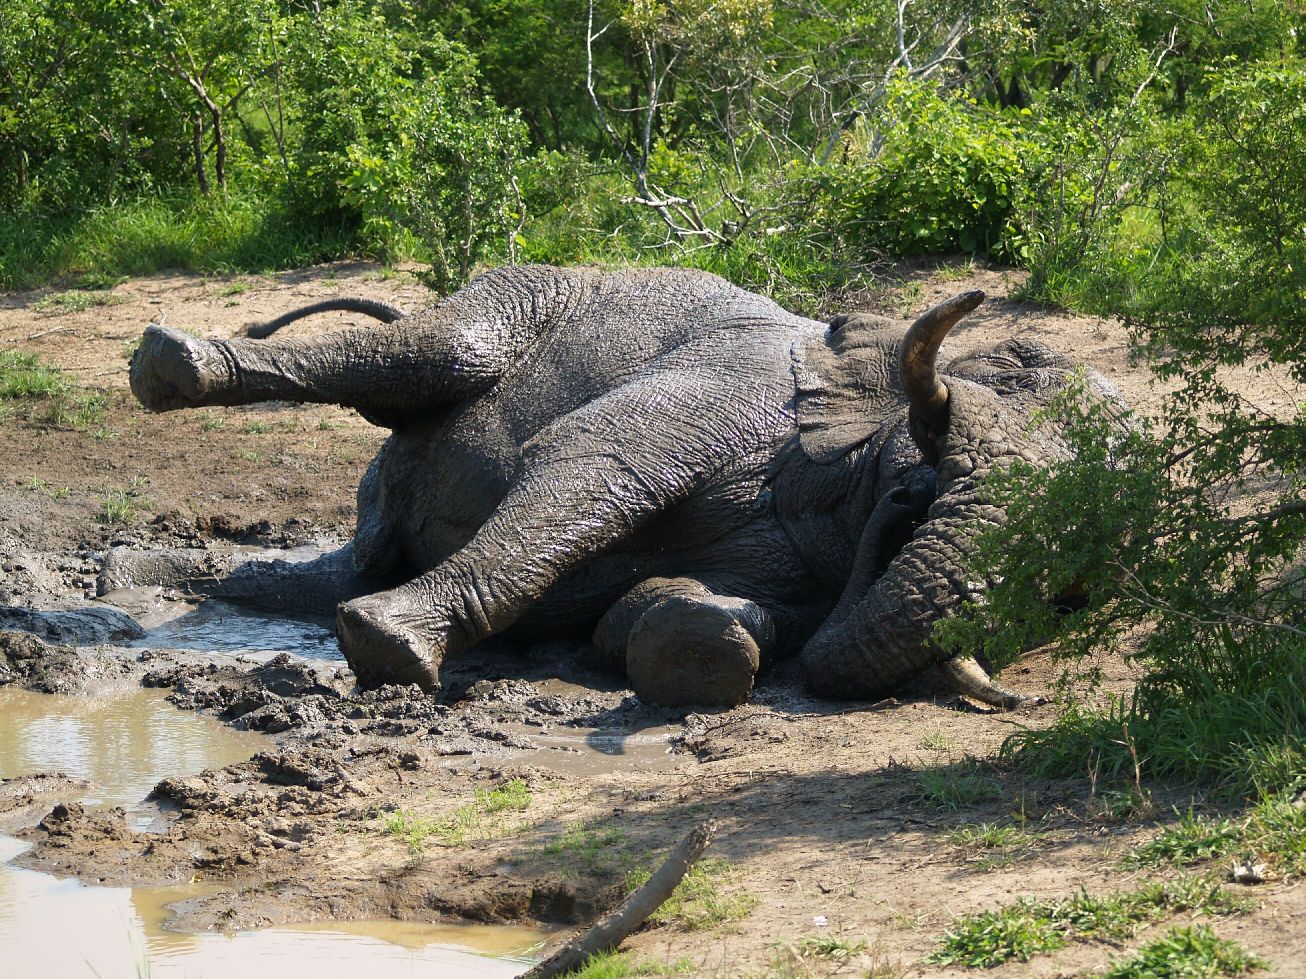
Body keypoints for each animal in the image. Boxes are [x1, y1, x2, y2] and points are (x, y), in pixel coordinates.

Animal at [124, 266, 1123, 715]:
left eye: (1066, 587)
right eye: (937, 443)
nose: (908, 507)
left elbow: (702, 619)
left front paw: (688, 641)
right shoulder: (733, 386)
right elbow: (593, 462)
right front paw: (391, 647)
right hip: (518, 294)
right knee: (432, 355)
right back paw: (169, 365)